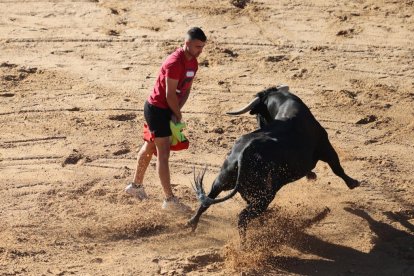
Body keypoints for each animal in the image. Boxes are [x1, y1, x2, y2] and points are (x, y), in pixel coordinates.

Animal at [188, 85, 360, 240]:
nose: (258, 124)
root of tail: (242, 156)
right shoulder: (326, 148)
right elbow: (337, 168)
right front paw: (353, 183)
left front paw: (312, 176)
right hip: (265, 194)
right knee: (243, 216)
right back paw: (244, 244)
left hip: (223, 181)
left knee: (208, 200)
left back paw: (191, 224)